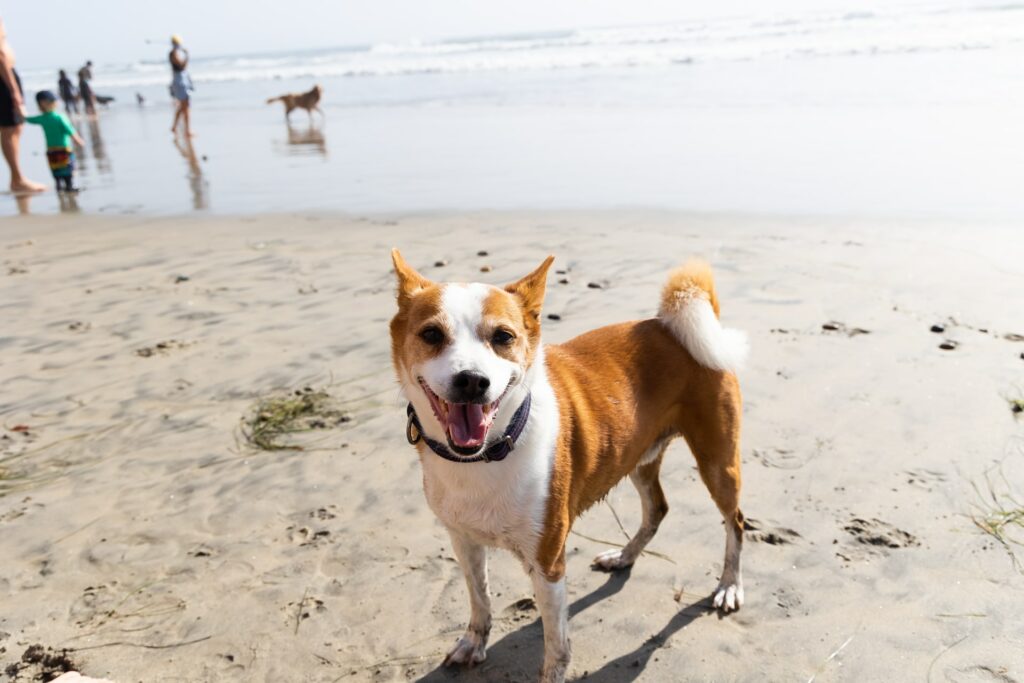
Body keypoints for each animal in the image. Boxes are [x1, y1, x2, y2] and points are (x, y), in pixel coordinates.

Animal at [387, 252, 749, 683]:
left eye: (503, 337)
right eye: (431, 334)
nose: (473, 381)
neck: (489, 451)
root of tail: (670, 326)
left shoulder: (548, 564)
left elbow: (556, 649)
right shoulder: (464, 540)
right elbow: (480, 599)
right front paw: (474, 643)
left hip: (717, 463)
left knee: (736, 523)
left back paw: (729, 586)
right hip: (639, 457)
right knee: (658, 509)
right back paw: (623, 556)